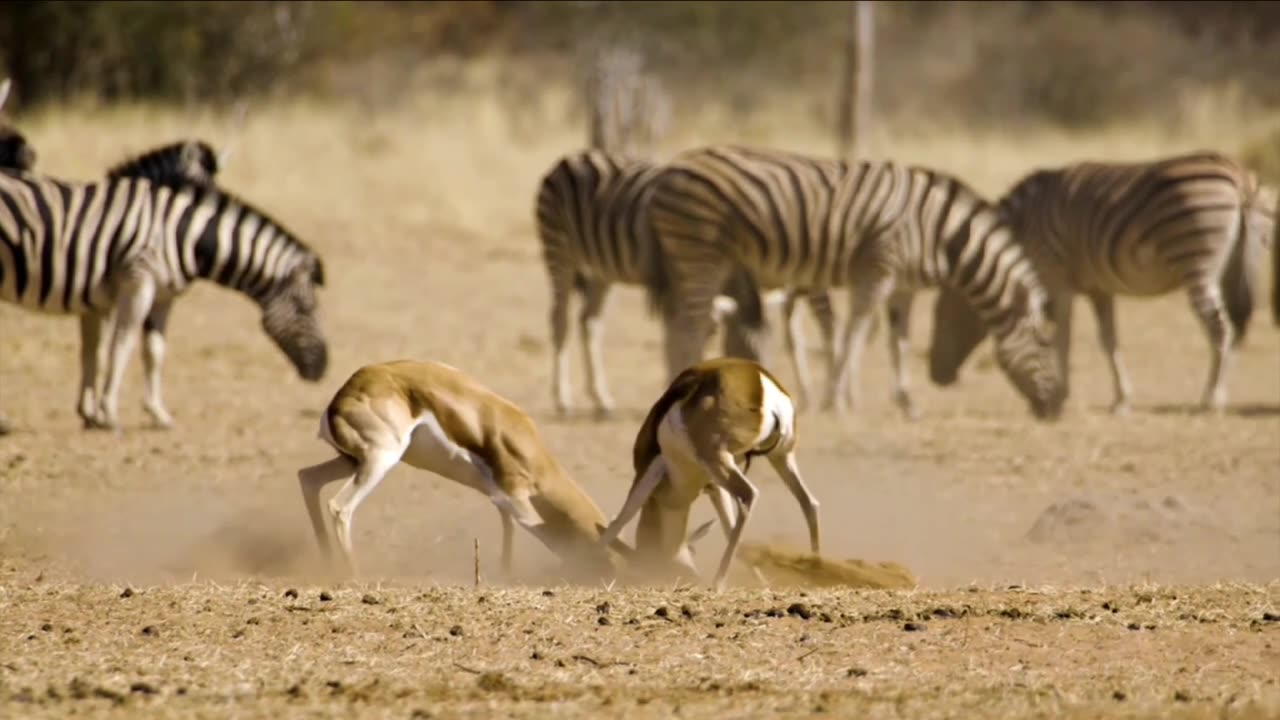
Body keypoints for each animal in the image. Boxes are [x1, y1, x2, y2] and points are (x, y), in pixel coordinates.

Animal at [2, 165, 330, 427]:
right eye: (305, 308)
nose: (322, 368)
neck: (185, 235)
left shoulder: (161, 295)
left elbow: (150, 351)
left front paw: (155, 413)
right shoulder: (138, 281)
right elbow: (122, 345)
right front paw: (108, 413)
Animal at [295, 356, 711, 576]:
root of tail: (340, 398)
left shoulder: (500, 499)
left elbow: (509, 533)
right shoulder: (515, 497)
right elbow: (544, 533)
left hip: (351, 459)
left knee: (308, 479)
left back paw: (325, 565)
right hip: (380, 460)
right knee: (340, 506)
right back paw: (352, 573)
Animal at [599, 356, 819, 589]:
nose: (690, 577)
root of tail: (759, 379)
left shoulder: (651, 466)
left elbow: (621, 518)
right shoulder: (713, 485)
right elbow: (729, 527)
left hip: (718, 459)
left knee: (749, 495)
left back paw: (718, 582)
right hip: (780, 456)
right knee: (808, 503)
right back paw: (815, 570)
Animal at [645, 142, 1064, 417]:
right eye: (1046, 343)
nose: (1058, 407)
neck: (939, 235)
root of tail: (671, 167)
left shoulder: (903, 287)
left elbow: (898, 342)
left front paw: (906, 401)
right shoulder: (876, 271)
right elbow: (855, 332)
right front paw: (837, 399)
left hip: (690, 260)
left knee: (677, 325)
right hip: (701, 253)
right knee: (689, 327)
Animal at [926, 148, 1274, 412]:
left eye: (943, 316)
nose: (936, 377)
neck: (1023, 228)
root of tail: (1240, 178)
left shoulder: (1056, 280)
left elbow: (1060, 336)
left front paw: (1061, 393)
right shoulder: (1098, 288)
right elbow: (1109, 341)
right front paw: (1122, 400)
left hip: (1197, 263)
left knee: (1221, 330)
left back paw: (1212, 398)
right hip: (1233, 267)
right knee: (1234, 328)